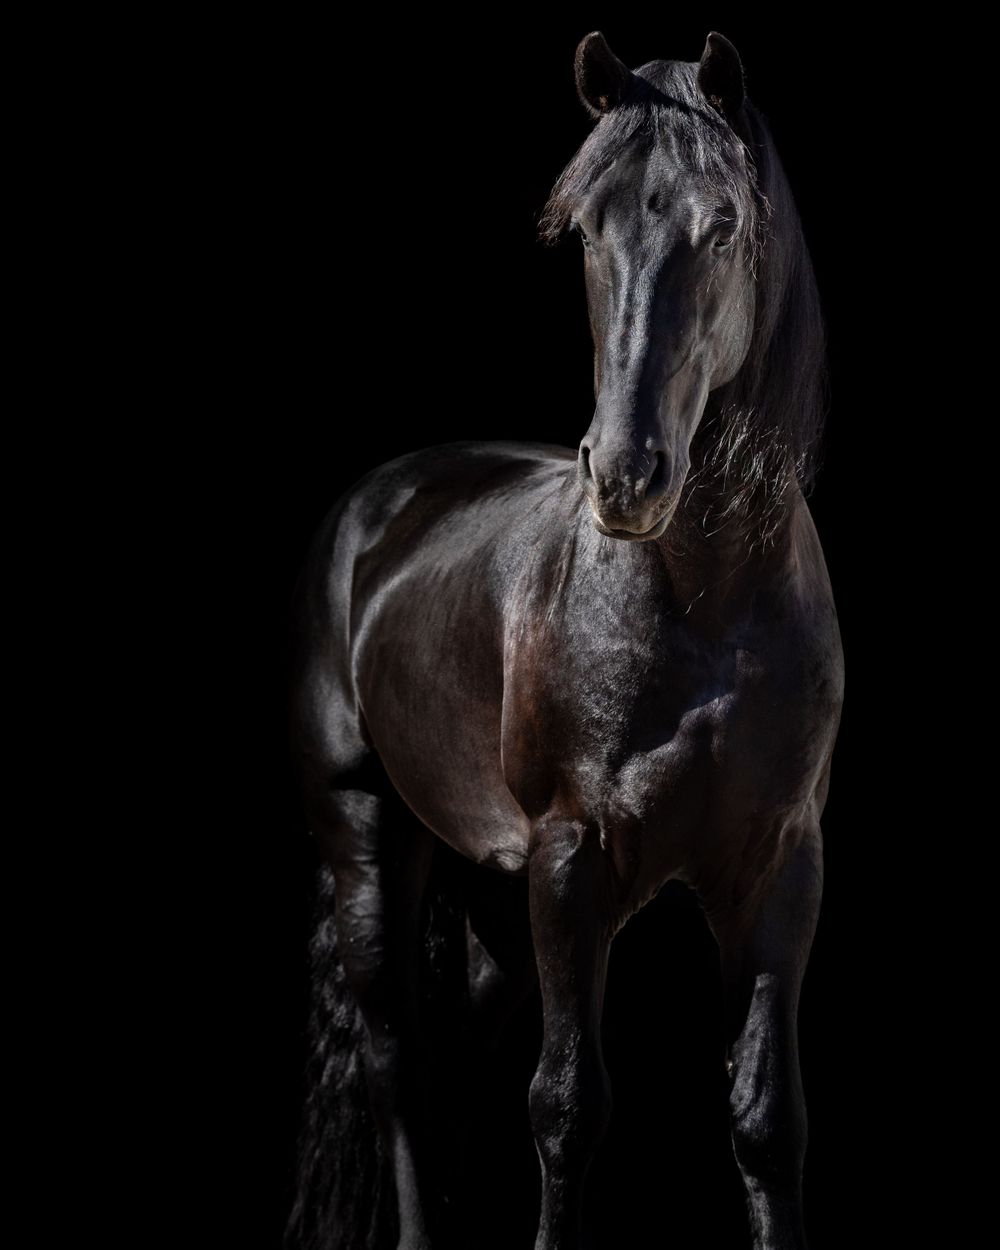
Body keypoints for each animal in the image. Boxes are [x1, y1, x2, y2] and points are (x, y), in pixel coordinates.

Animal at [284, 29, 844, 1250]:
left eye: (721, 226)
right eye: (584, 229)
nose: (626, 474)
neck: (706, 606)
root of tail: (383, 500)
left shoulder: (778, 863)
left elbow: (766, 1118)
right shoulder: (571, 858)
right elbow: (567, 1105)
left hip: (495, 898)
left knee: (453, 1058)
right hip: (370, 834)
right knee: (400, 1062)